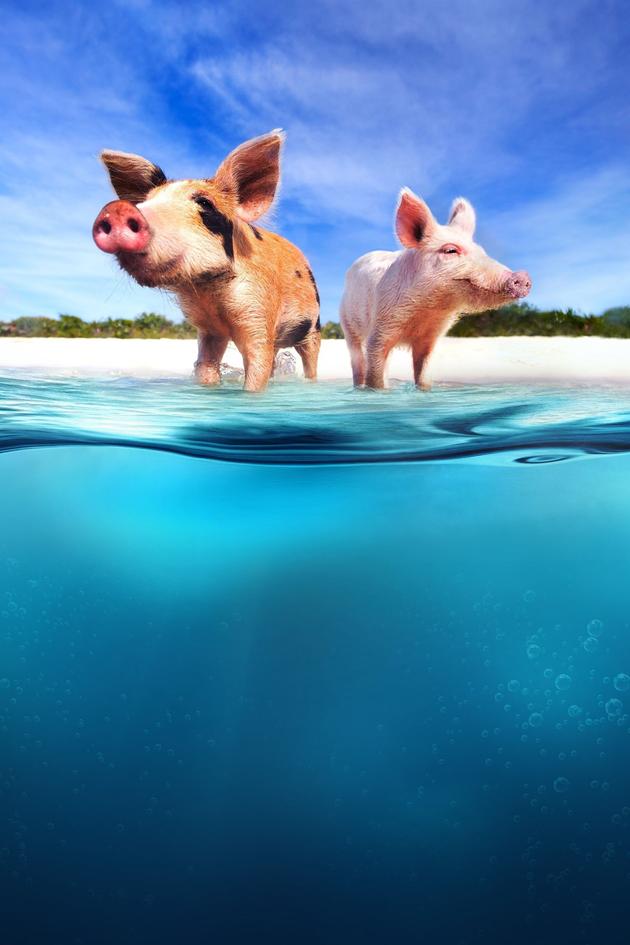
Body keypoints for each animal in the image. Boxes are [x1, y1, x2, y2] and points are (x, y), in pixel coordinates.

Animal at [92, 131, 321, 392]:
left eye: (205, 203)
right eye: (145, 201)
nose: (117, 209)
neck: (210, 292)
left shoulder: (259, 311)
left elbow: (257, 368)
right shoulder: (209, 329)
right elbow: (206, 366)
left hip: (314, 327)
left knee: (310, 360)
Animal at [339, 188, 531, 389]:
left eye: (482, 251)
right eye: (450, 250)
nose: (522, 276)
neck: (428, 309)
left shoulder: (430, 338)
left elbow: (423, 374)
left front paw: (424, 390)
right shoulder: (380, 329)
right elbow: (375, 375)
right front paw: (377, 391)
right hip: (347, 323)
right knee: (357, 360)